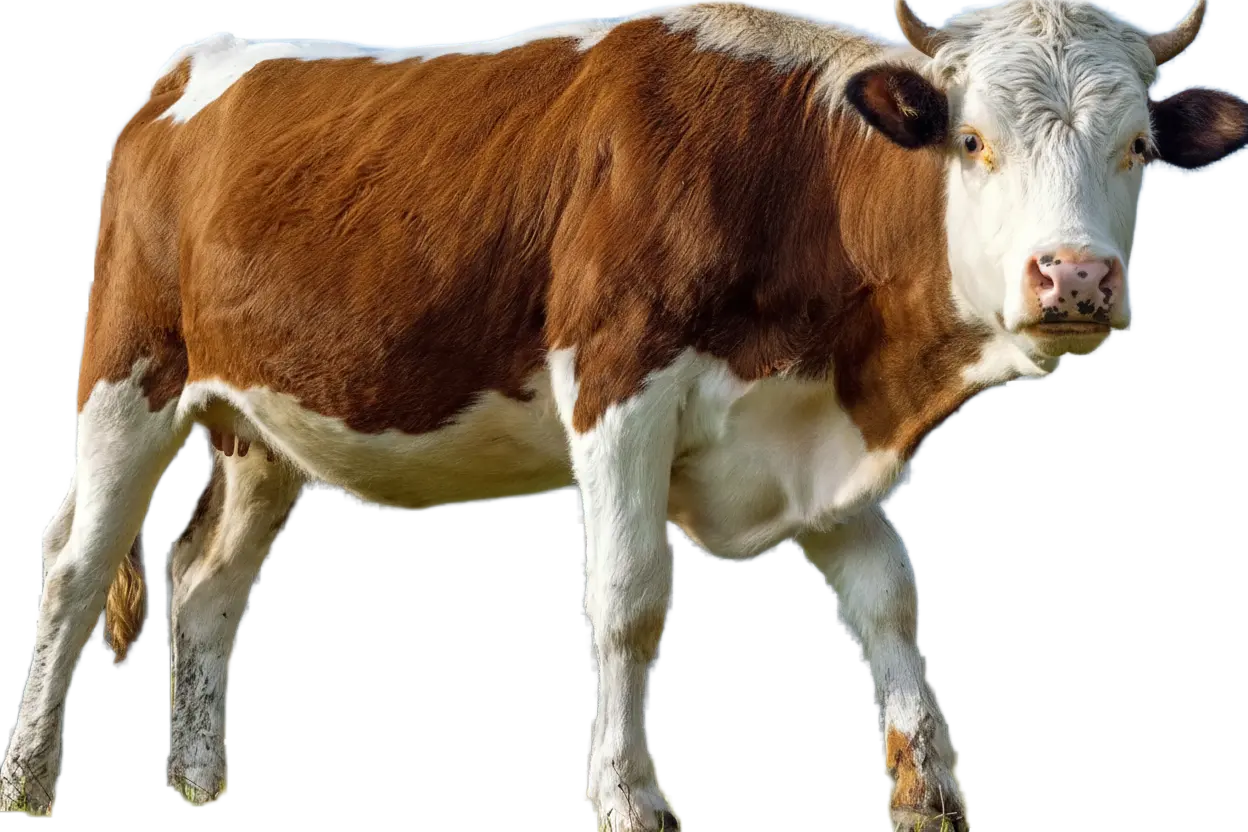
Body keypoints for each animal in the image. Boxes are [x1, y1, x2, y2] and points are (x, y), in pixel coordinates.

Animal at [3, 0, 1246, 828]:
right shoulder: (617, 387)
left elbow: (888, 595)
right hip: (128, 369)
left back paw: (202, 782)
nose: (1074, 277)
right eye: (974, 141)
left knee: (206, 580)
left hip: (262, 418)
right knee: (74, 573)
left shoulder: (812, 433)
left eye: (1139, 145)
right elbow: (630, 603)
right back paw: (30, 776)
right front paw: (629, 793)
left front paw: (928, 787)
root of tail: (183, 72)